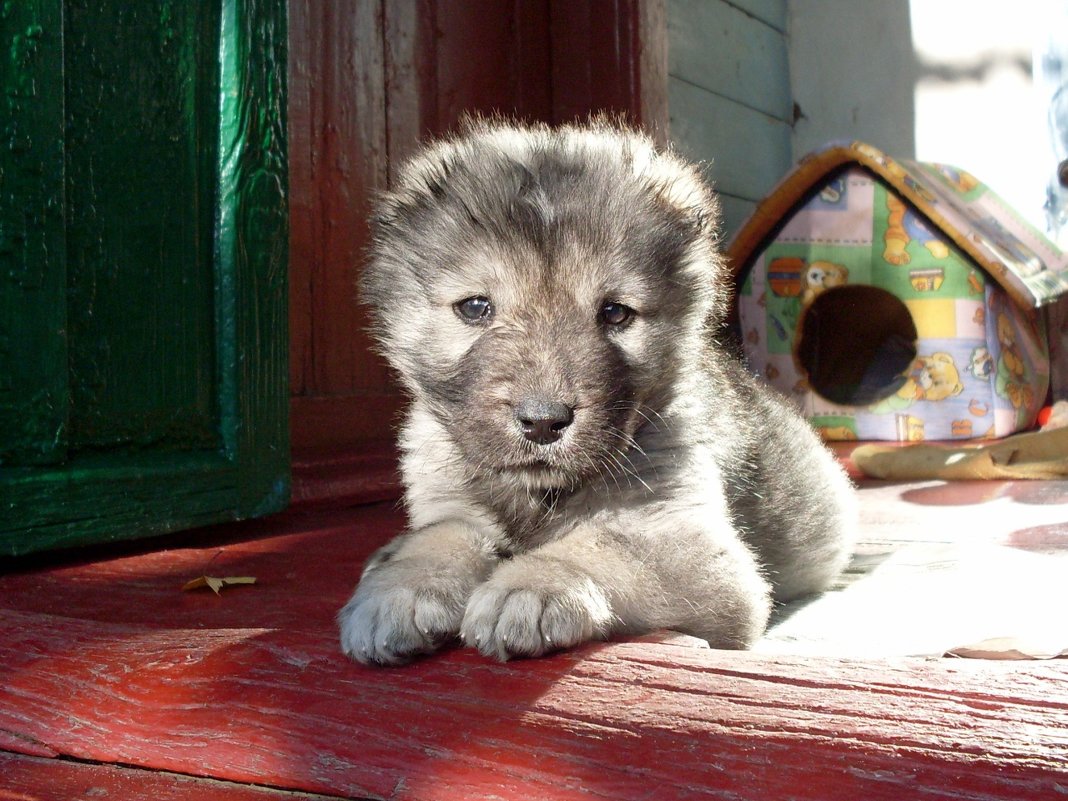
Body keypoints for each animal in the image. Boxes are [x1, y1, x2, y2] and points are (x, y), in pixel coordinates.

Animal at [337, 119, 854, 666]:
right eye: (475, 307)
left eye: (615, 313)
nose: (543, 422)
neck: (539, 495)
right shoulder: (447, 499)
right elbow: (443, 534)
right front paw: (401, 586)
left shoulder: (699, 550)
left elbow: (604, 544)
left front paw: (533, 585)